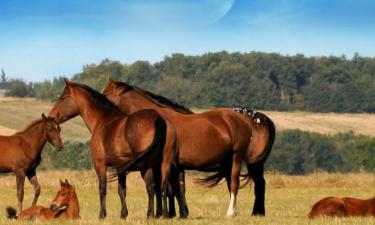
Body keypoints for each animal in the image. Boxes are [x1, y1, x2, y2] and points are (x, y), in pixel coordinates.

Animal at [47, 80, 175, 219]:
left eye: (63, 97)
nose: (51, 117)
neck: (103, 121)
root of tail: (158, 120)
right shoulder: (121, 168)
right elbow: (122, 190)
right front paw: (123, 214)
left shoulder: (100, 165)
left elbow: (102, 189)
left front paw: (102, 215)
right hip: (162, 164)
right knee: (163, 187)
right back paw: (164, 215)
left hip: (146, 166)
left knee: (151, 187)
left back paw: (150, 215)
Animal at [102, 78, 276, 218]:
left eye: (106, 93)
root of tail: (245, 120)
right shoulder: (172, 166)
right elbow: (172, 188)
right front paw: (175, 213)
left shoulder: (169, 164)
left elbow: (169, 189)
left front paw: (169, 213)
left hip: (240, 159)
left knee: (240, 184)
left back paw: (237, 213)